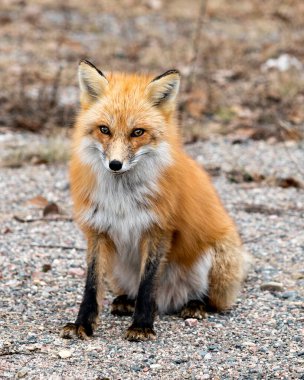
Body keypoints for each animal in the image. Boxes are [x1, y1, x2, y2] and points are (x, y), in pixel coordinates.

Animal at [60, 59, 249, 342]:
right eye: (104, 129)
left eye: (138, 132)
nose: (115, 164)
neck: (122, 197)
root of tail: (168, 301)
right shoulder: (98, 230)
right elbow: (91, 286)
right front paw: (82, 323)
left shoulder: (158, 229)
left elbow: (148, 284)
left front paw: (142, 326)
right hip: (117, 268)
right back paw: (125, 300)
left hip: (216, 258)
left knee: (210, 301)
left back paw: (195, 305)